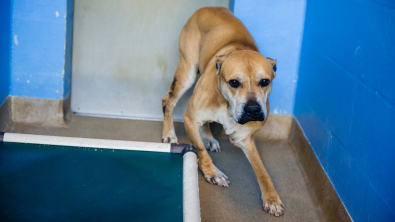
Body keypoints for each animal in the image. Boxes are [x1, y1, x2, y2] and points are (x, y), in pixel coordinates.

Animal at [162, 6, 284, 217]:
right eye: (234, 82)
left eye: (265, 81)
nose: (252, 110)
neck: (227, 107)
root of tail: (208, 7)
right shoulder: (190, 119)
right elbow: (201, 151)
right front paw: (212, 173)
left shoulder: (244, 138)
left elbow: (262, 171)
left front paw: (271, 197)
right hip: (186, 72)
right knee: (167, 101)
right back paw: (169, 134)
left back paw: (209, 138)